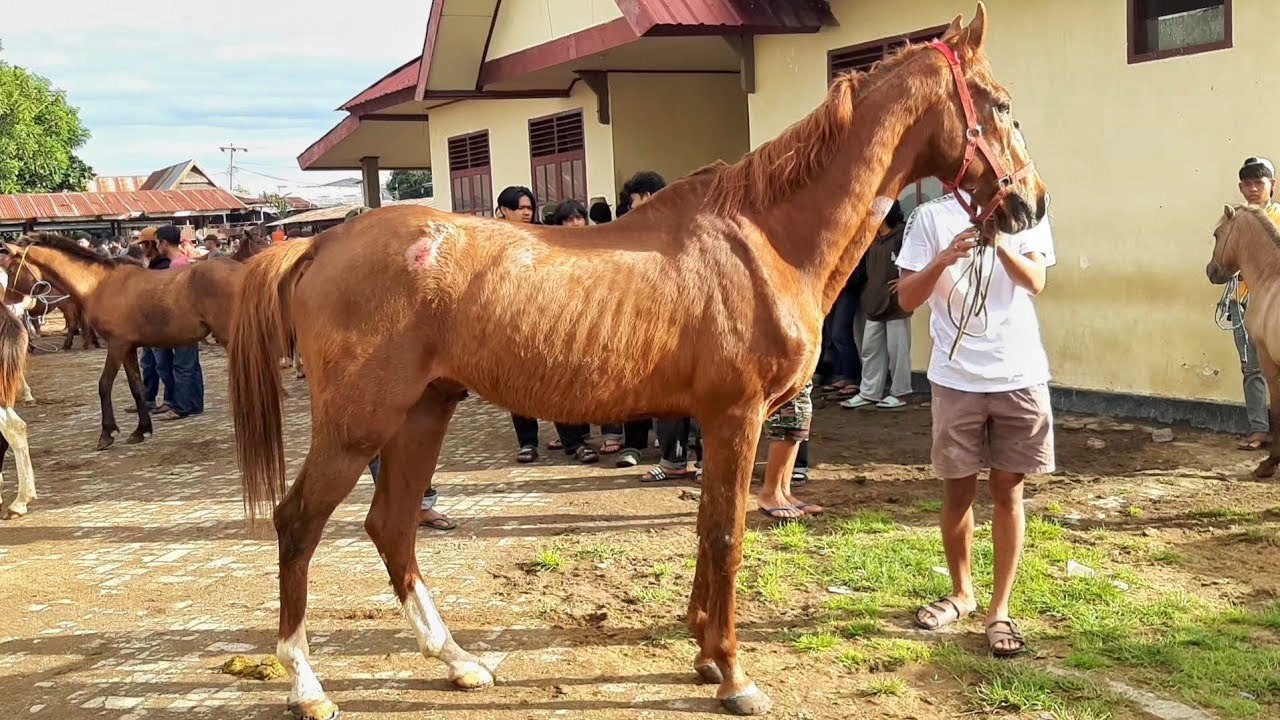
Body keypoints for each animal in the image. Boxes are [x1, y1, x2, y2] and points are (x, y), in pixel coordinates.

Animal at [0, 234, 245, 450]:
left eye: (9, 268)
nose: (7, 305)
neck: (100, 284)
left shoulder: (117, 345)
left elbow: (104, 384)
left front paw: (106, 434)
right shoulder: (128, 348)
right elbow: (137, 387)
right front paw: (141, 430)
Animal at [228, 5, 1046, 718]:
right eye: (1003, 105)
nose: (1030, 204)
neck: (764, 237)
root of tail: (321, 244)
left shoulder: (716, 421)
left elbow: (707, 527)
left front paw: (705, 654)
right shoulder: (738, 416)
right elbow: (728, 535)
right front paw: (734, 676)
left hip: (423, 411)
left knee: (391, 525)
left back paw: (457, 661)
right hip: (359, 424)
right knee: (299, 523)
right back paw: (306, 684)